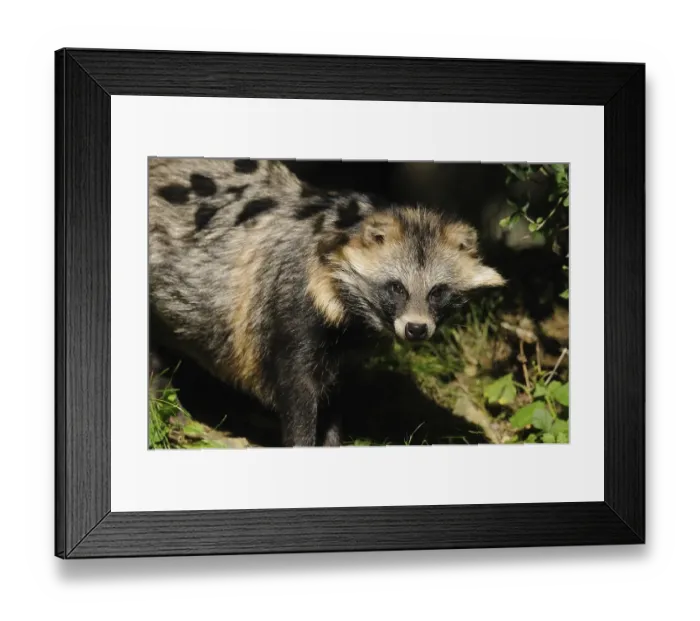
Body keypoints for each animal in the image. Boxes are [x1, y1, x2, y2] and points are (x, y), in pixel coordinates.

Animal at [149, 158, 505, 447]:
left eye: (437, 292)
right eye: (396, 288)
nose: (416, 329)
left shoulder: (345, 356)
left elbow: (335, 402)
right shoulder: (289, 314)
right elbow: (298, 397)